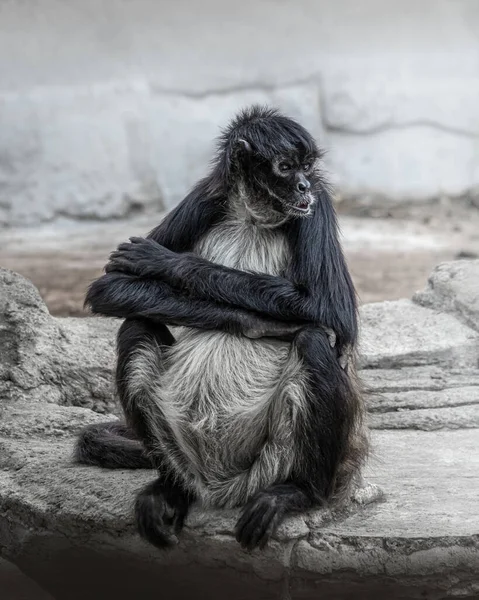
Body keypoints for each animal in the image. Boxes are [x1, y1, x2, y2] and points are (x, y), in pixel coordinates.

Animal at [75, 105, 370, 552]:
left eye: (307, 167)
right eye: (286, 167)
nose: (303, 183)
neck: (254, 216)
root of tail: (219, 487)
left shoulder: (316, 202)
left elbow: (328, 308)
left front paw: (170, 263)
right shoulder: (207, 196)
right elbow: (111, 285)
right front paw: (254, 321)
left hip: (274, 459)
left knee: (312, 339)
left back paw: (300, 492)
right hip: (180, 450)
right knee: (135, 324)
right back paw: (172, 489)